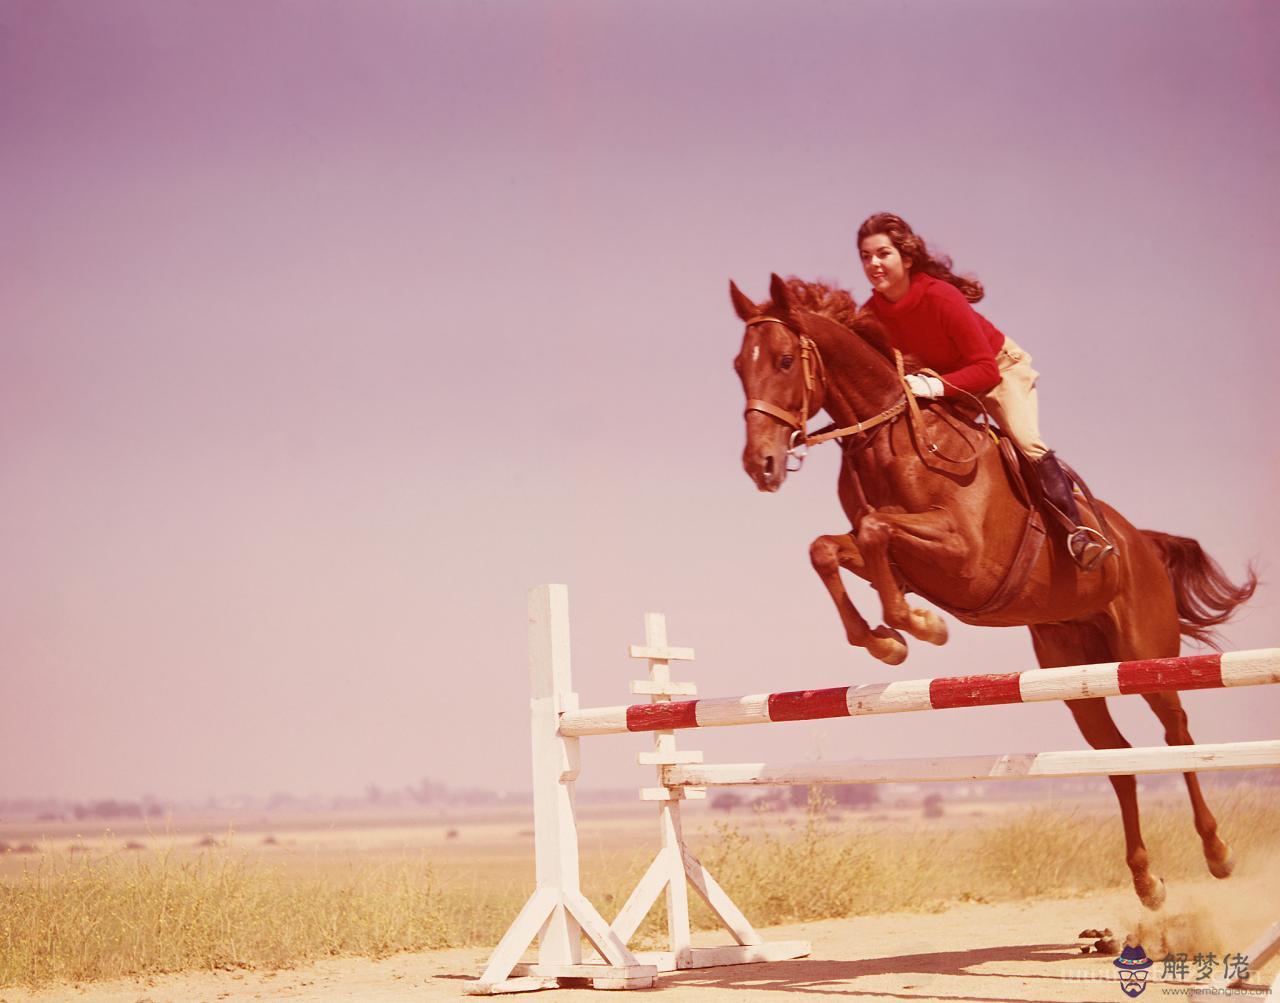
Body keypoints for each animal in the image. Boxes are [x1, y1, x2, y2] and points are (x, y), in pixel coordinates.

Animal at [732, 272, 1259, 910]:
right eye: (738, 366)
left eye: (784, 360)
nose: (760, 464)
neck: (890, 439)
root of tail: (1142, 544)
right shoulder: (898, 554)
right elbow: (831, 548)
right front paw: (887, 639)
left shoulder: (967, 554)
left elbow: (876, 529)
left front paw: (917, 627)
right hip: (1074, 675)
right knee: (1118, 759)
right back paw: (1145, 880)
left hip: (1144, 657)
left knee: (1176, 733)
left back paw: (1217, 851)